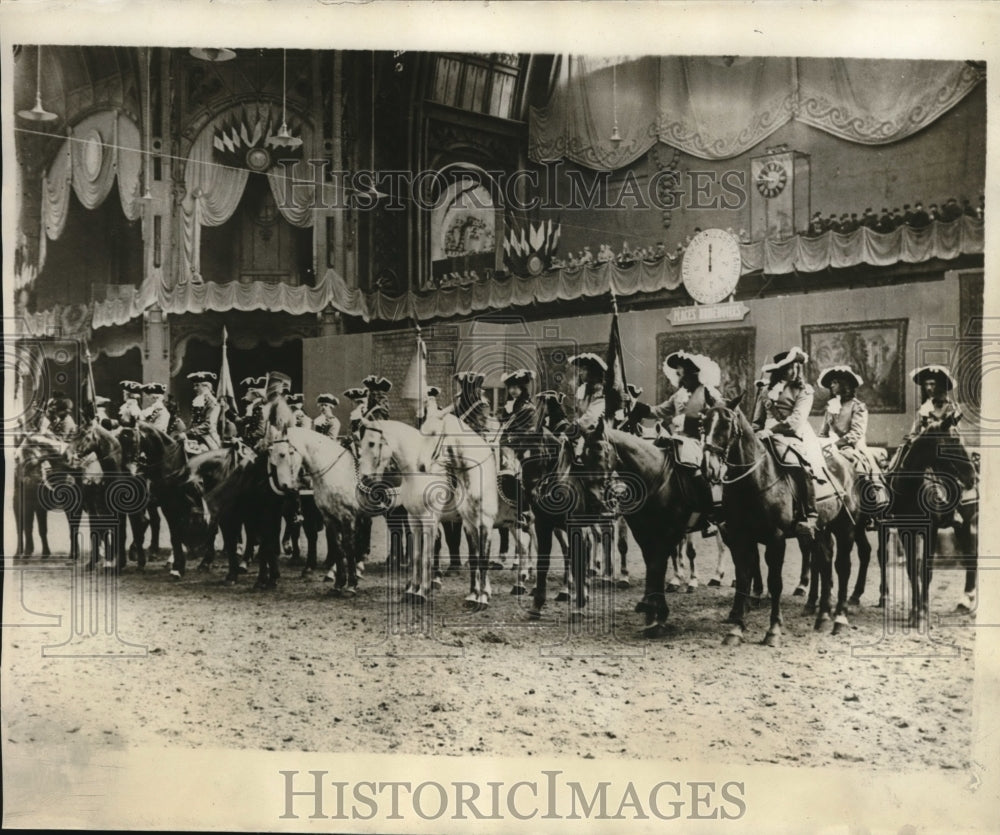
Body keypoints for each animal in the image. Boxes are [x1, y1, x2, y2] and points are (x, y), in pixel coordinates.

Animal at [116, 422, 212, 580]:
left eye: (134, 441)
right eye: (120, 440)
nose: (127, 471)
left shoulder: (174, 505)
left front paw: (177, 567)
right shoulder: (167, 506)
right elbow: (173, 535)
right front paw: (178, 567)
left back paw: (206, 562)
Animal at [704, 398, 860, 648]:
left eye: (727, 423)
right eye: (704, 423)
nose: (708, 466)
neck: (754, 480)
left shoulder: (776, 539)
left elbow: (775, 582)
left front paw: (773, 630)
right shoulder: (740, 538)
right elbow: (744, 580)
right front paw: (736, 628)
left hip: (845, 527)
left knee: (842, 567)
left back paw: (840, 620)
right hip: (821, 529)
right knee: (825, 562)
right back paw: (823, 617)